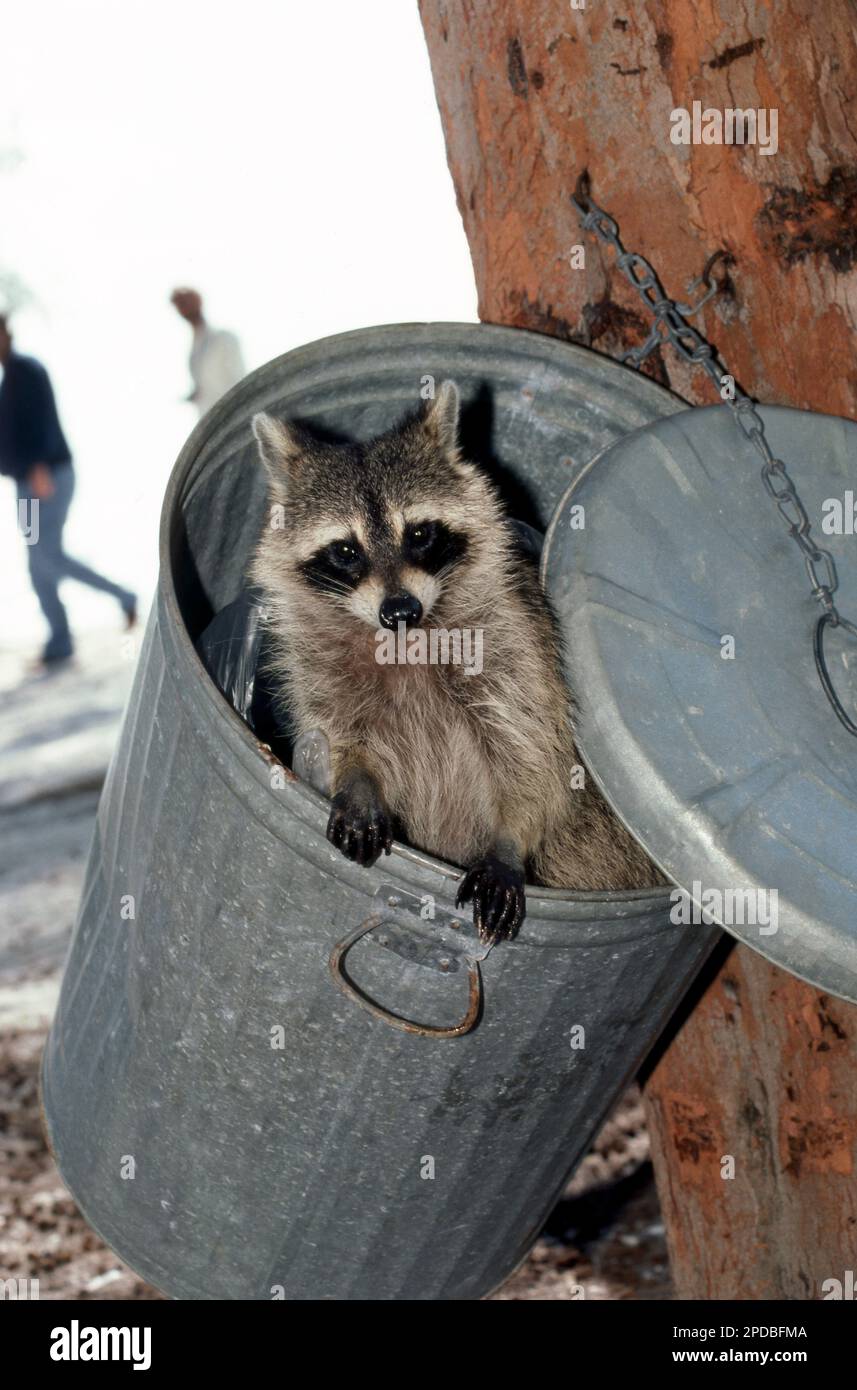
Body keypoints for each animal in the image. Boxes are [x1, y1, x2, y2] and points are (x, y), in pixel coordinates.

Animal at [251, 381, 663, 943]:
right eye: (346, 550)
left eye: (419, 534)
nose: (400, 609)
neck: (403, 642)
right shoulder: (316, 663)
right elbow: (336, 730)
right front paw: (355, 780)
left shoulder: (514, 643)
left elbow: (536, 753)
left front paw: (509, 841)